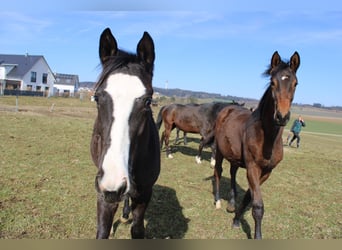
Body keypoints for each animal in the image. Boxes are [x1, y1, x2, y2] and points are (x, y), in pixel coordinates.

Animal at [90, 27, 161, 238]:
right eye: (97, 98)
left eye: (148, 101)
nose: (114, 185)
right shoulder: (104, 193)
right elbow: (103, 231)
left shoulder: (145, 193)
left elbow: (137, 230)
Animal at [212, 50, 300, 238]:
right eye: (272, 83)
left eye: (295, 83)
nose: (282, 116)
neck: (267, 138)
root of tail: (228, 108)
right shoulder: (252, 166)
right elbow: (258, 205)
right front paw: (257, 236)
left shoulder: (267, 171)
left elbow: (248, 197)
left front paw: (236, 219)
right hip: (220, 152)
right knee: (218, 172)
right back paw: (217, 201)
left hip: (235, 156)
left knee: (232, 172)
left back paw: (231, 203)